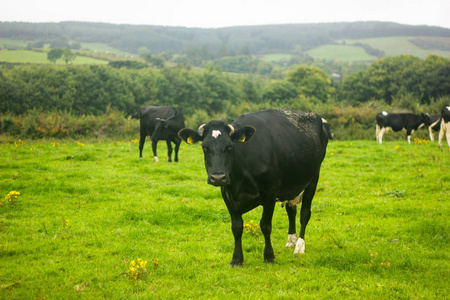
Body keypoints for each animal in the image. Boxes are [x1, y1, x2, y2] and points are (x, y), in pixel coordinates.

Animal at [178, 108, 328, 268]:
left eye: (230, 147)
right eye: (204, 147)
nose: (218, 177)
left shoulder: (270, 192)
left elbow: (265, 225)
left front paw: (269, 256)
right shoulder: (227, 194)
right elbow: (237, 227)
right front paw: (236, 259)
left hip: (313, 178)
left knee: (305, 213)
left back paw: (299, 246)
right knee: (291, 210)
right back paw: (291, 241)